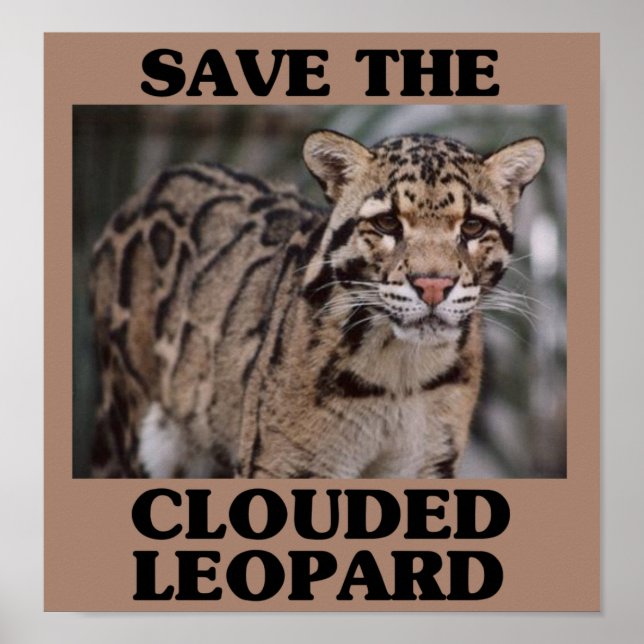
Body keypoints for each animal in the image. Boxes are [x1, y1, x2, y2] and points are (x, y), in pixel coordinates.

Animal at [89, 129, 545, 479]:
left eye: (473, 226)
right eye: (387, 223)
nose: (433, 285)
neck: (401, 370)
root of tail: (149, 187)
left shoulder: (427, 462)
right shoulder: (285, 464)